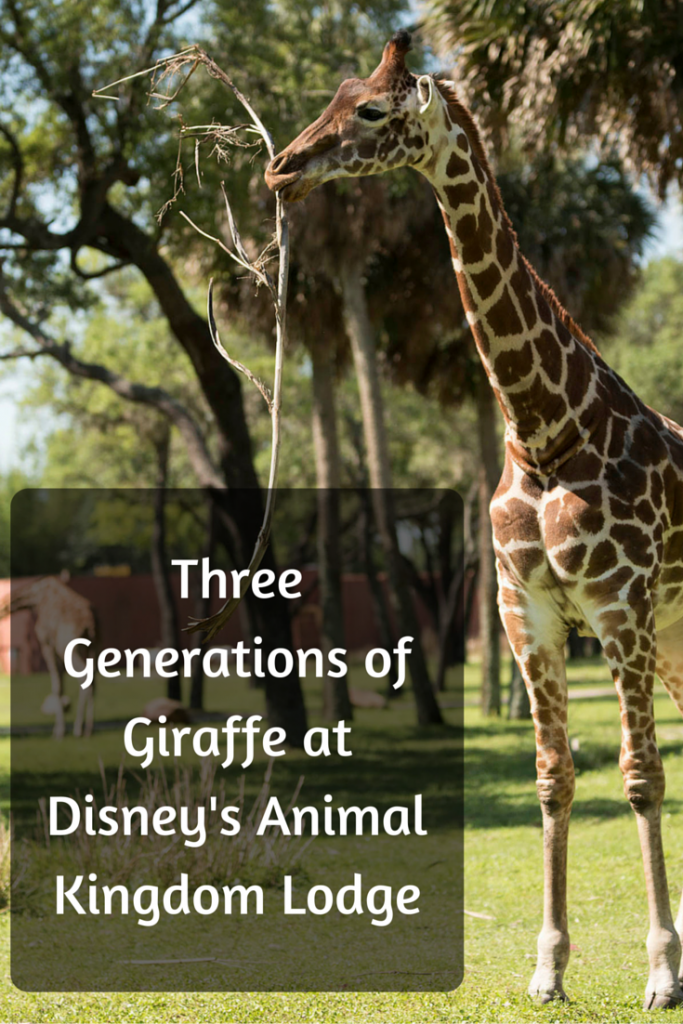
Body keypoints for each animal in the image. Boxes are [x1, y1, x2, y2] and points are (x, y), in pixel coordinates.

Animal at [3, 577, 96, 737]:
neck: (35, 598)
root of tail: (89, 624)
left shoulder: (46, 644)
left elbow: (57, 686)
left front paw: (59, 732)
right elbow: (61, 685)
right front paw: (60, 728)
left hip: (67, 646)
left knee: (85, 677)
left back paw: (79, 729)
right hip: (94, 646)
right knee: (94, 679)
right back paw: (88, 729)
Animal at [266, 29, 683, 1007]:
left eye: (371, 110)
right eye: (336, 93)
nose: (280, 168)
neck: (546, 429)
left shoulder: (619, 609)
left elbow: (640, 777)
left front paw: (660, 975)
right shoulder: (523, 613)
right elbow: (552, 779)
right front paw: (548, 969)